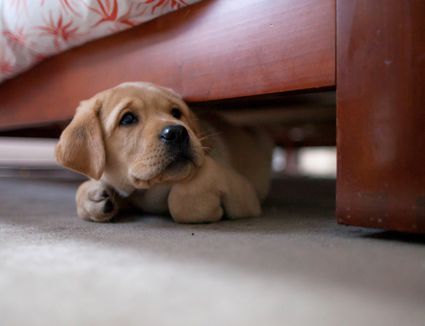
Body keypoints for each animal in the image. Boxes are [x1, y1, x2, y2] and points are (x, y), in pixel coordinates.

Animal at [55, 83, 272, 223]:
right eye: (127, 119)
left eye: (176, 113)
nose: (177, 133)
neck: (150, 190)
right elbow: (86, 189)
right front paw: (94, 195)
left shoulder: (246, 192)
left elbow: (183, 197)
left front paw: (206, 207)